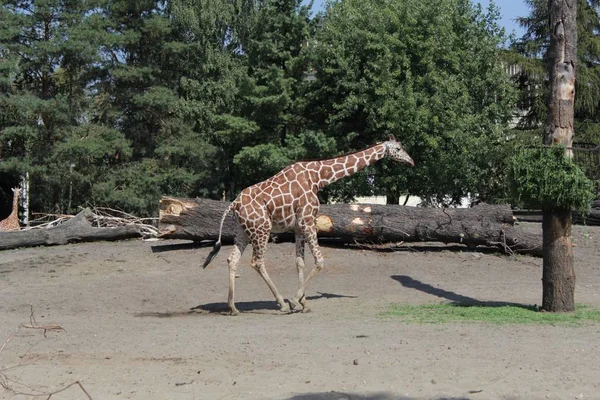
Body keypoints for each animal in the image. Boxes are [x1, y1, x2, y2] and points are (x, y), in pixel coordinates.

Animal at [204, 136, 414, 314]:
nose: (411, 161)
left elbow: (300, 262)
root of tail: (234, 204)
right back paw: (280, 303)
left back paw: (233, 307)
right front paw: (294, 301)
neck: (319, 177)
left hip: (243, 231)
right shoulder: (307, 219)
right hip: (261, 228)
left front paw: (304, 303)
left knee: (232, 260)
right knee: (257, 261)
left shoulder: (298, 226)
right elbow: (319, 261)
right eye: (398, 148)